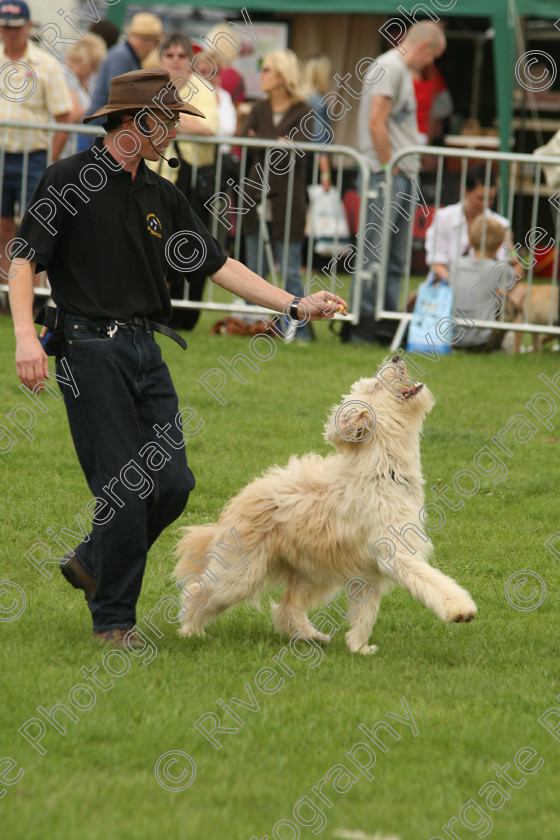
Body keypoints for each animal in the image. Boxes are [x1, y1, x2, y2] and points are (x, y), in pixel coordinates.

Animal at [173, 352, 474, 648]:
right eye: (375, 387)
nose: (396, 357)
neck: (384, 469)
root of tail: (241, 498)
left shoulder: (368, 572)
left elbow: (365, 613)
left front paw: (359, 648)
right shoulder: (394, 552)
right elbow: (430, 580)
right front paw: (459, 609)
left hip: (314, 571)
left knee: (288, 606)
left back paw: (311, 635)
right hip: (242, 571)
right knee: (199, 592)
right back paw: (192, 631)